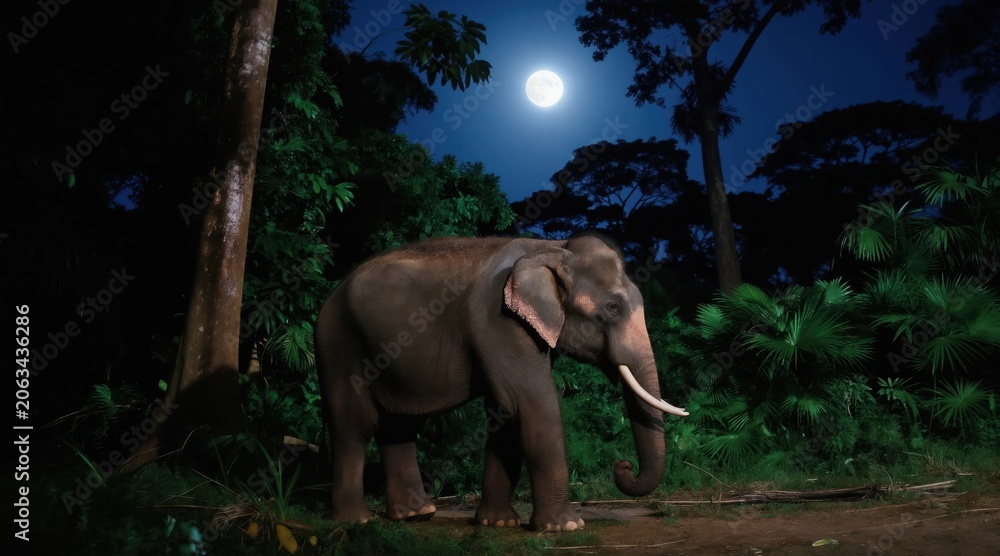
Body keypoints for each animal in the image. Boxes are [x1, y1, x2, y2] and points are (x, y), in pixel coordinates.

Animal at [314, 233, 687, 532]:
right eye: (612, 307)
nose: (622, 466)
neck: (550, 247)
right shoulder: (497, 320)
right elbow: (532, 403)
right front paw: (566, 526)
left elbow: (505, 412)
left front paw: (500, 523)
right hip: (339, 348)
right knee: (354, 425)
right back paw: (356, 520)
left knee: (399, 426)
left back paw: (416, 515)